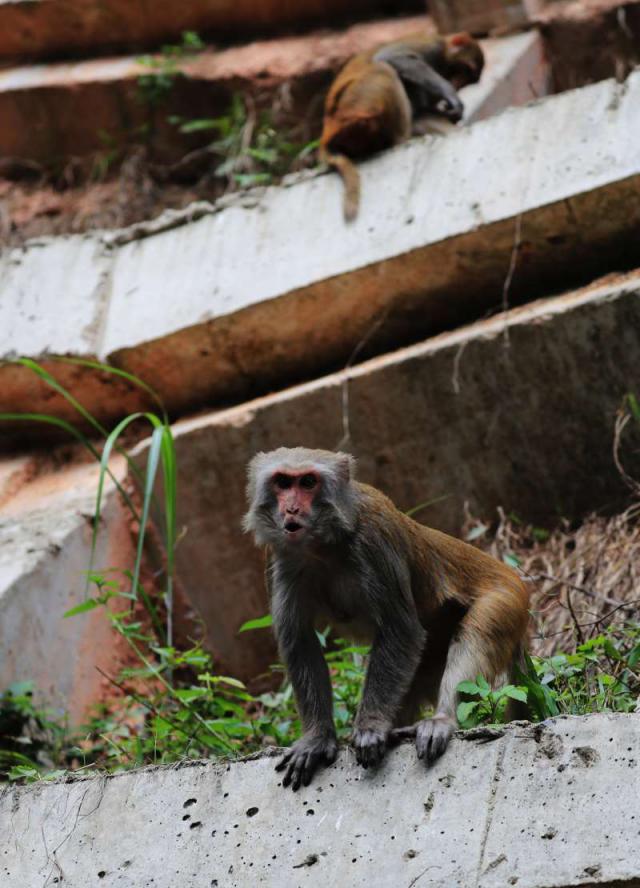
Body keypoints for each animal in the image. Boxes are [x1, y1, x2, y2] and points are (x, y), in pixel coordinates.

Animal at [244, 447, 529, 791]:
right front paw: (317, 738)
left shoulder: (374, 541)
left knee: (475, 636)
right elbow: (300, 642)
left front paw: (370, 727)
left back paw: (442, 719)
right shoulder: (280, 559)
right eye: (283, 483)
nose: (292, 508)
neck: (325, 544)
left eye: (309, 482)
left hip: (506, 599)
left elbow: (401, 630)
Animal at [319, 32, 484, 221]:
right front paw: (450, 94)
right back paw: (401, 139)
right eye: (464, 70)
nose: (457, 83)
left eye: (466, 79)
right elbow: (394, 57)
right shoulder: (432, 46)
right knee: (383, 68)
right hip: (352, 104)